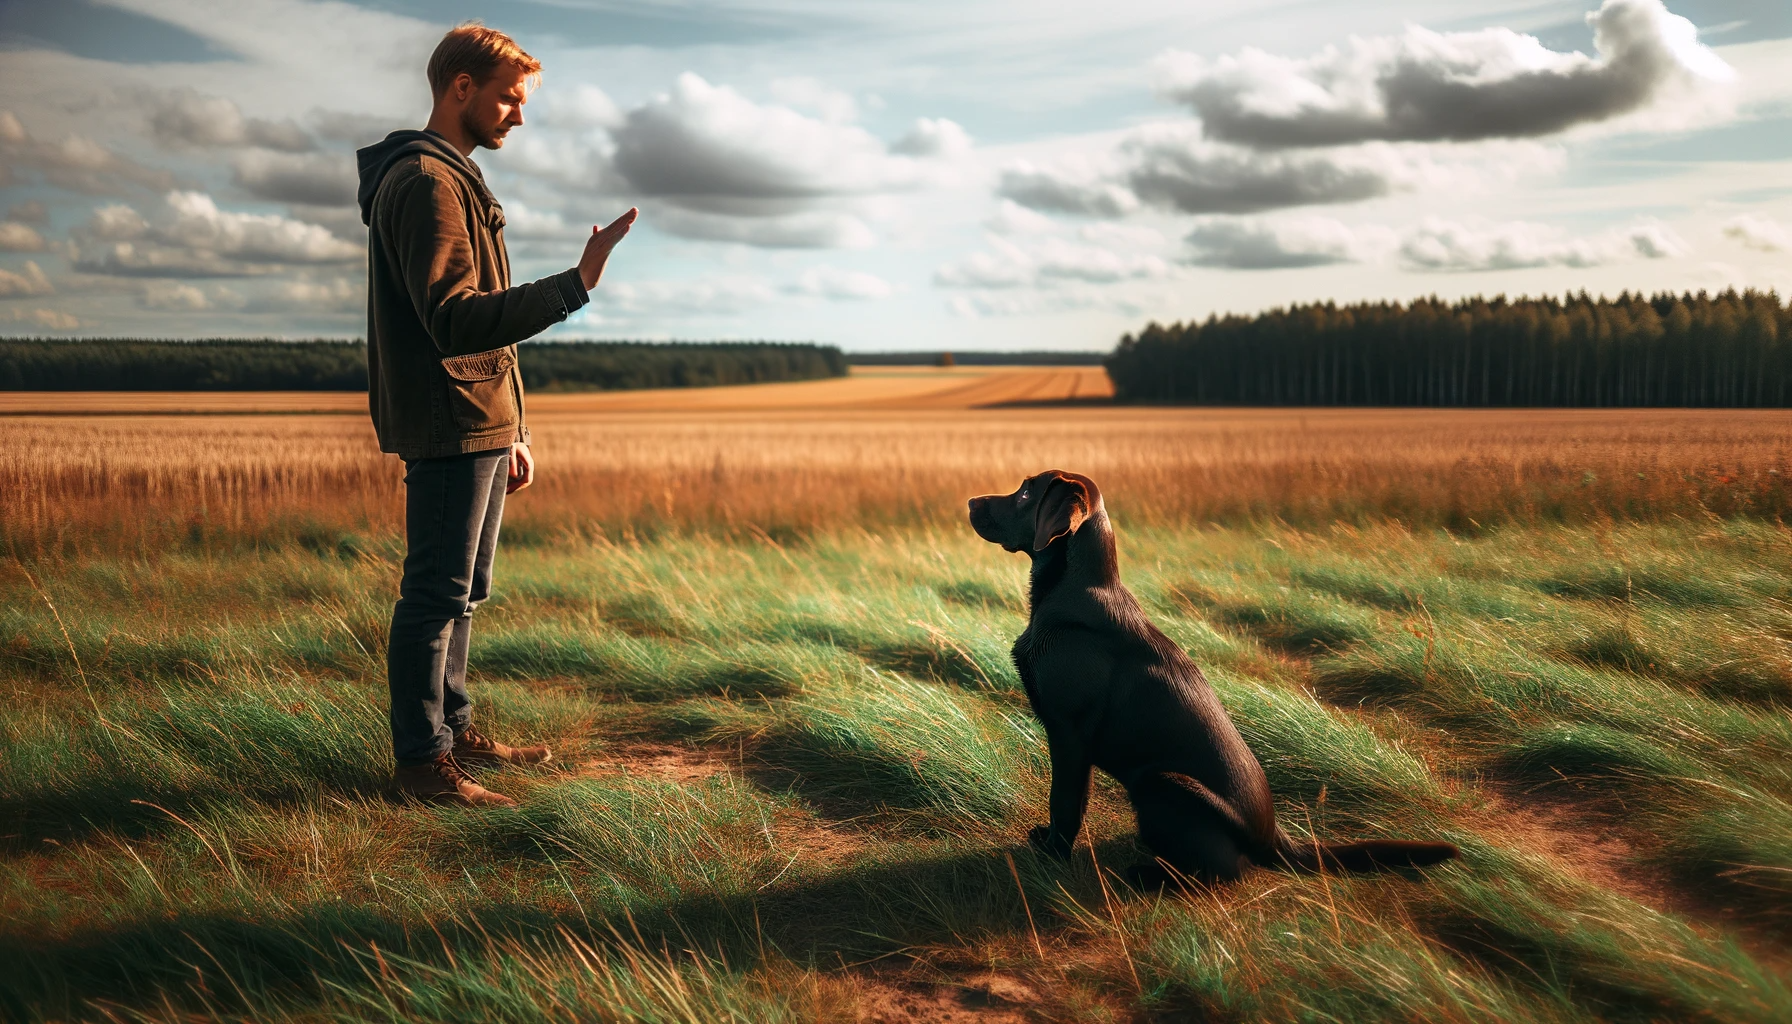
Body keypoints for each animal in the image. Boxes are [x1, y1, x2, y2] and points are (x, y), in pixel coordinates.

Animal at [967, 473, 1455, 889]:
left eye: (1025, 492)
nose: (970, 501)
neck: (1072, 591)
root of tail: (1273, 836)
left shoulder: (1069, 734)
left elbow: (1065, 801)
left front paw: (1053, 855)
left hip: (1161, 783)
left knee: (1229, 869)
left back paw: (1150, 875)